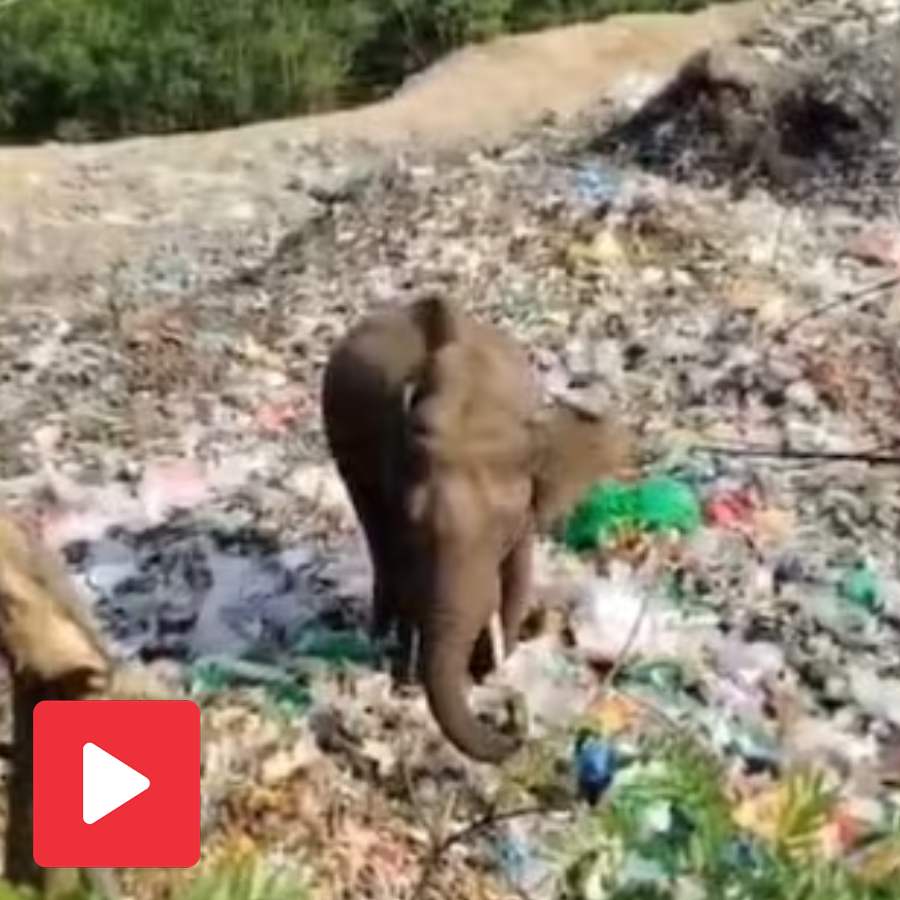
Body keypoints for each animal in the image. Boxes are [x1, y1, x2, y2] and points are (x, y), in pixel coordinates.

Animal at [321, 296, 634, 763]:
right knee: (378, 543)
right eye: (415, 522)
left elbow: (517, 575)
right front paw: (409, 680)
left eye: (502, 526)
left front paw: (491, 671)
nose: (513, 718)